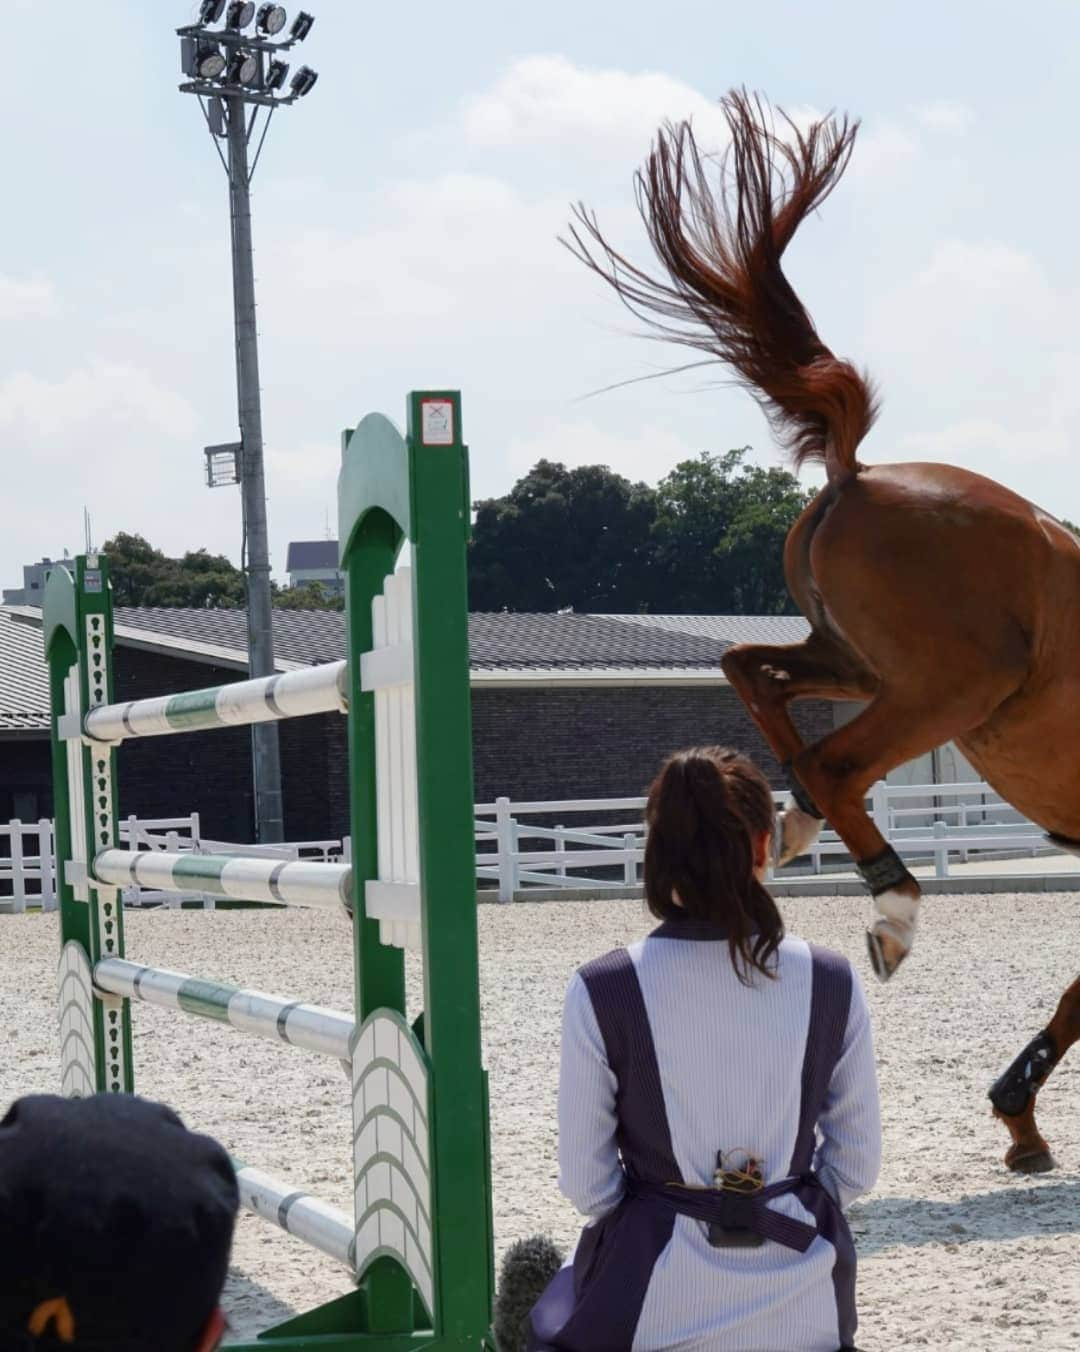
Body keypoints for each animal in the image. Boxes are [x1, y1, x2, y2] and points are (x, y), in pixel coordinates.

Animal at [565, 92, 1080, 1173]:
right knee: (836, 758)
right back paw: (891, 901)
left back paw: (801, 823)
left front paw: (1018, 1110)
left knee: (755, 676)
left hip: (856, 665)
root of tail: (859, 472)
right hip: (945, 690)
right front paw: (1020, 1114)